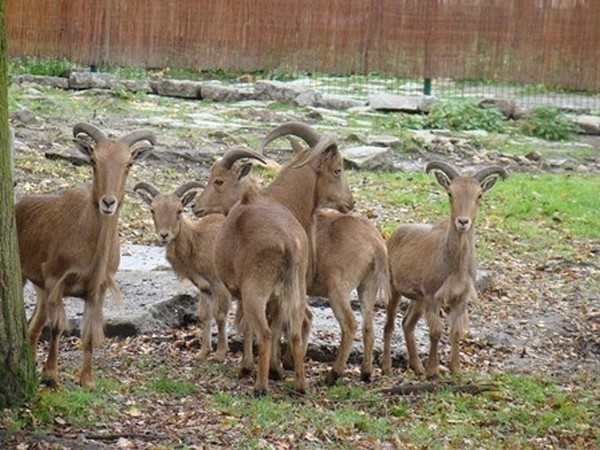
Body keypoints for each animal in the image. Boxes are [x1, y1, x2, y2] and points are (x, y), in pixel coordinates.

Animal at [17, 122, 156, 386]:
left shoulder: (96, 290)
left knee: (33, 327)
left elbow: (89, 333)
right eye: (93, 160)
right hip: (22, 277)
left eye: (129, 164)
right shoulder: (56, 280)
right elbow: (58, 327)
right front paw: (50, 376)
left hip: (40, 289)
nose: (108, 202)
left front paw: (87, 381)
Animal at [135, 179, 231, 362]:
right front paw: (203, 353)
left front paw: (220, 354)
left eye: (179, 210)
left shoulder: (220, 286)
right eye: (152, 210)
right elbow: (205, 315)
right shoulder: (205, 288)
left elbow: (220, 315)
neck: (198, 240)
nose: (164, 235)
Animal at [380, 162, 506, 380]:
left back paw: (417, 367)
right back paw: (387, 366)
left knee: (407, 324)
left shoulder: (459, 299)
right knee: (389, 325)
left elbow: (455, 332)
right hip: (395, 289)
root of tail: (393, 235)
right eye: (450, 193)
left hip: (418, 298)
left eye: (479, 195)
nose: (463, 222)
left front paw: (455, 369)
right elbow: (436, 332)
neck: (454, 264)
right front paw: (433, 371)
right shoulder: (433, 296)